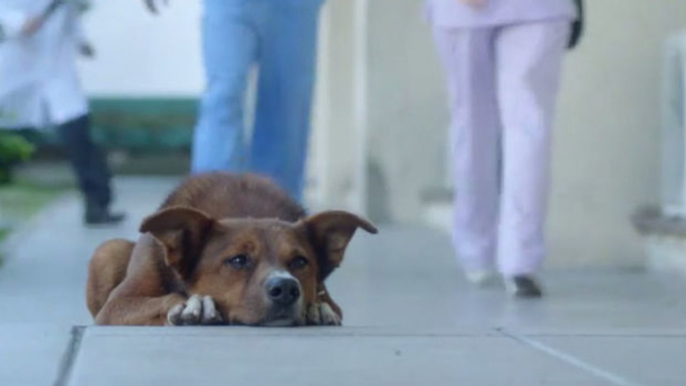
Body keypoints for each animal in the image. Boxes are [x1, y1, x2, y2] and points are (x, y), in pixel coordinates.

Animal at [86, 172, 378, 326]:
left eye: (300, 262)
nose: (286, 288)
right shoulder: (115, 307)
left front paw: (316, 308)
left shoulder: (330, 300)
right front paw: (192, 303)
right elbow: (164, 298)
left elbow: (328, 306)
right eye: (238, 260)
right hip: (107, 251)